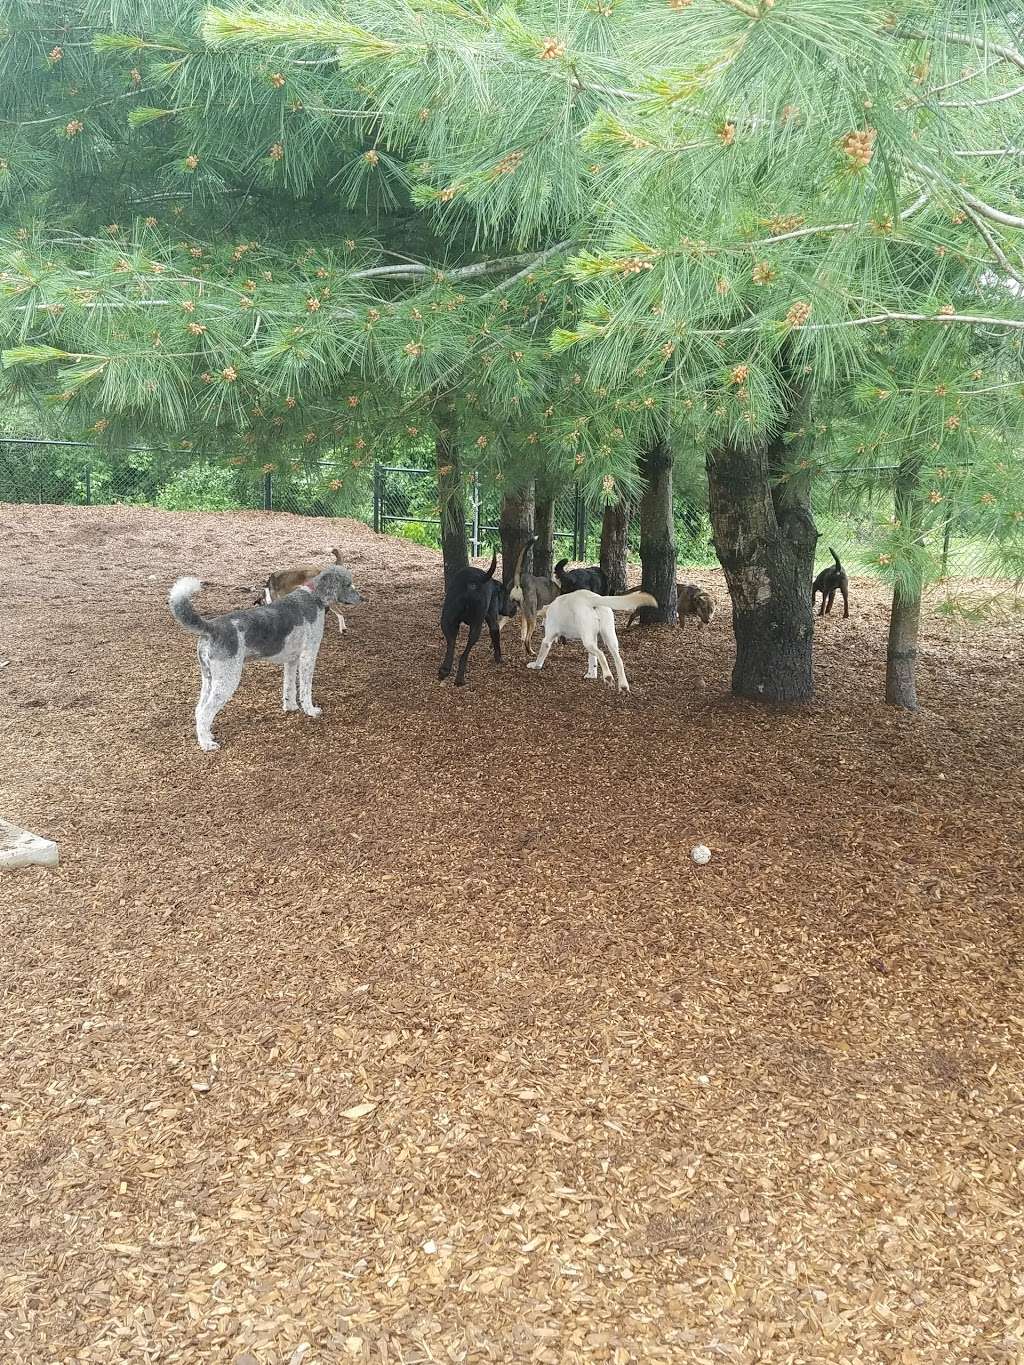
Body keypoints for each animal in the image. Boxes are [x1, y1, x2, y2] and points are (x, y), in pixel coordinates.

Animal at [166, 567, 363, 758]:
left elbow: (289, 687)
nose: (362, 599)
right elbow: (305, 689)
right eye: (348, 584)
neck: (314, 596)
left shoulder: (292, 660)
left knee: (199, 710)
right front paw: (310, 710)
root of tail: (210, 628)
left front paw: (290, 707)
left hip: (209, 679)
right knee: (206, 712)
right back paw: (206, 744)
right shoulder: (308, 656)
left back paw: (207, 735)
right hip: (227, 680)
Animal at [436, 548, 516, 687]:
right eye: (509, 597)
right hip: (476, 626)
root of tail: (473, 580)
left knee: (451, 645)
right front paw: (499, 659)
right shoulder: (493, 623)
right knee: (464, 654)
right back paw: (460, 679)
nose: (515, 608)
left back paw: (445, 670)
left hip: (447, 621)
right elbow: (496, 642)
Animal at [529, 589, 658, 693]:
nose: (541, 625)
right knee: (618, 660)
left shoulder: (547, 640)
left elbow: (541, 654)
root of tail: (593, 599)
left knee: (601, 654)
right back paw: (623, 686)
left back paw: (608, 677)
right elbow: (592, 660)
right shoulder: (594, 638)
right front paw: (591, 675)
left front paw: (535, 665)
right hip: (608, 638)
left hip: (588, 641)